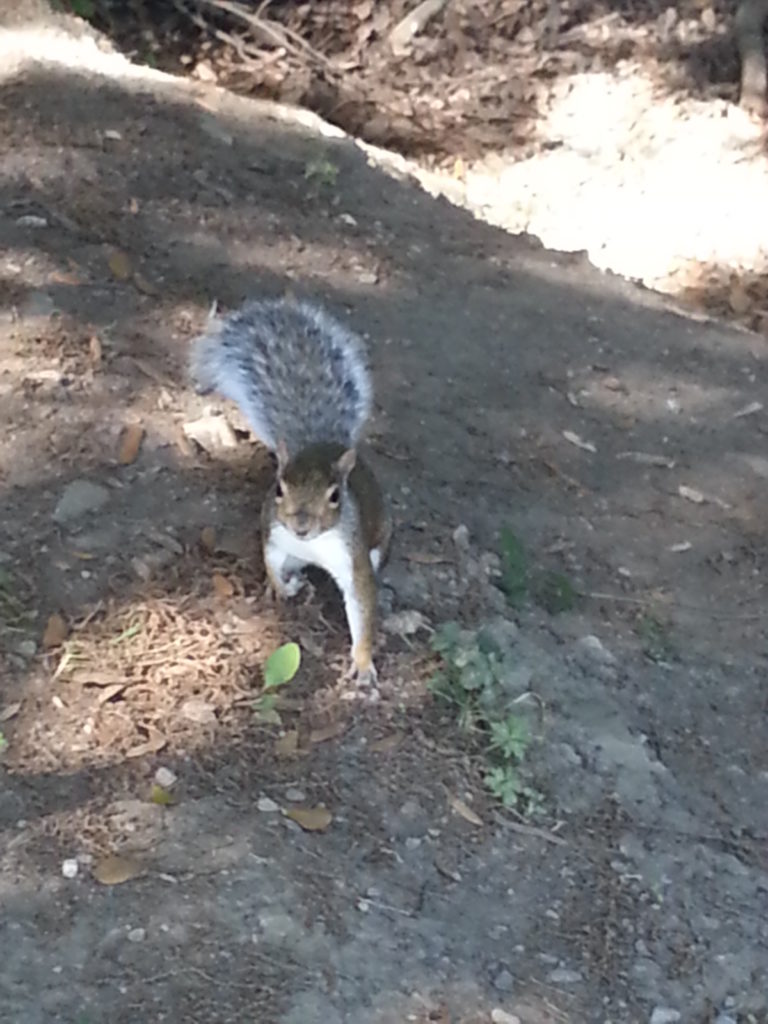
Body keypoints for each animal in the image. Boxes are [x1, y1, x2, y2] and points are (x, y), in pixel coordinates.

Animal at [187, 296, 391, 688]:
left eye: (335, 496)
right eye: (279, 488)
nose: (301, 525)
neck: (315, 543)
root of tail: (323, 442)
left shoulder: (354, 559)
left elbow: (362, 607)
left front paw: (362, 662)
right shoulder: (274, 535)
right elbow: (270, 563)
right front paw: (280, 588)